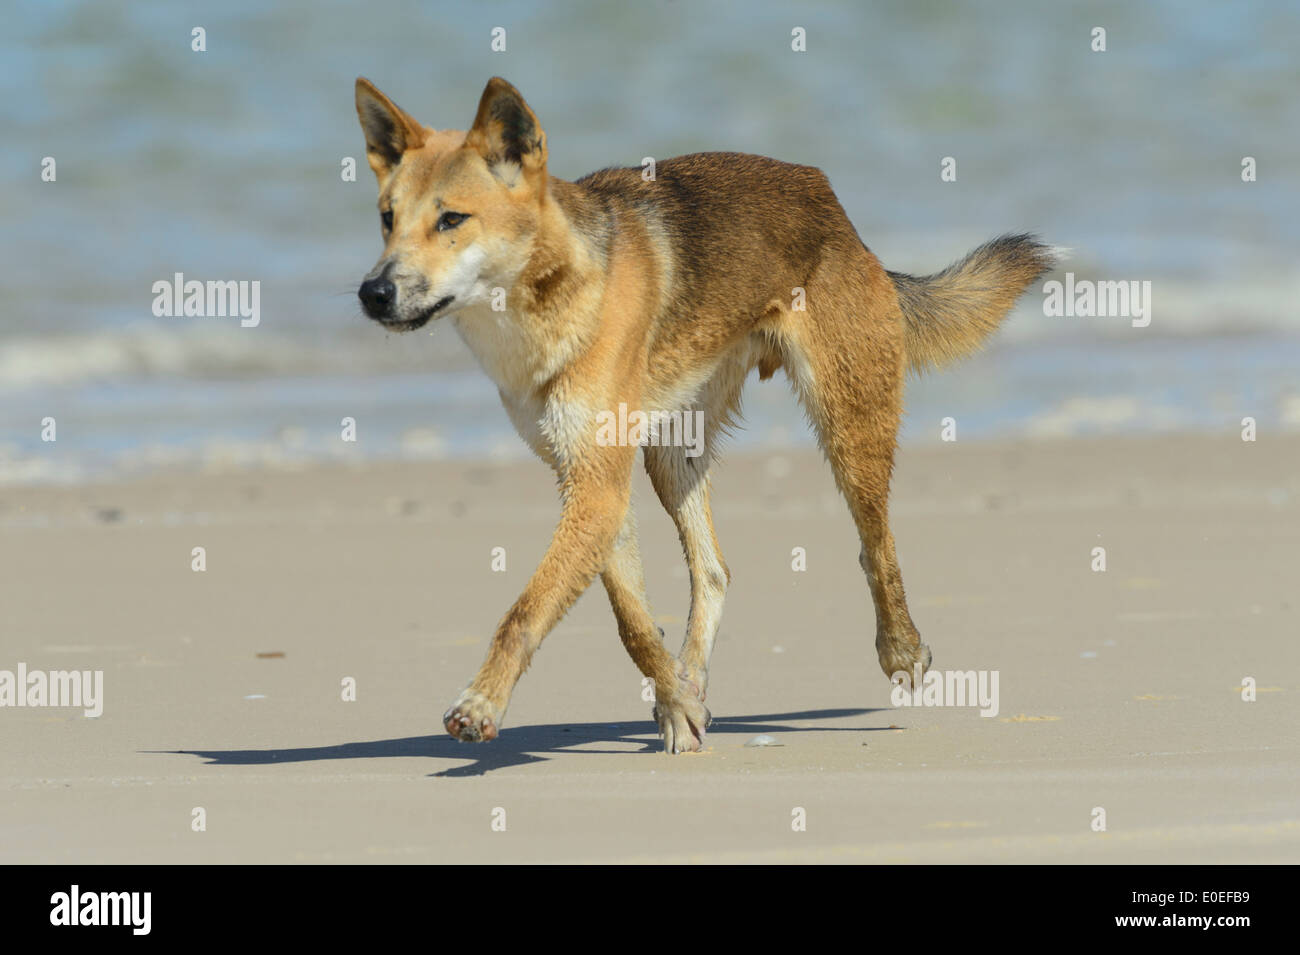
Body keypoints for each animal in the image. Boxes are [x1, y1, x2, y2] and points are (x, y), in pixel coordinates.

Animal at [356, 76, 1055, 753]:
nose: (373, 293)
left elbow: (525, 611)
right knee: (715, 571)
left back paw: (902, 650)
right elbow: (634, 623)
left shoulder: (597, 486)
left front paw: (481, 704)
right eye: (387, 219)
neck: (551, 297)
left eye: (452, 218)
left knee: (875, 546)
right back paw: (689, 681)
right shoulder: (592, 481)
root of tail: (833, 205)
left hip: (848, 425)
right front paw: (678, 706)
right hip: (673, 455)